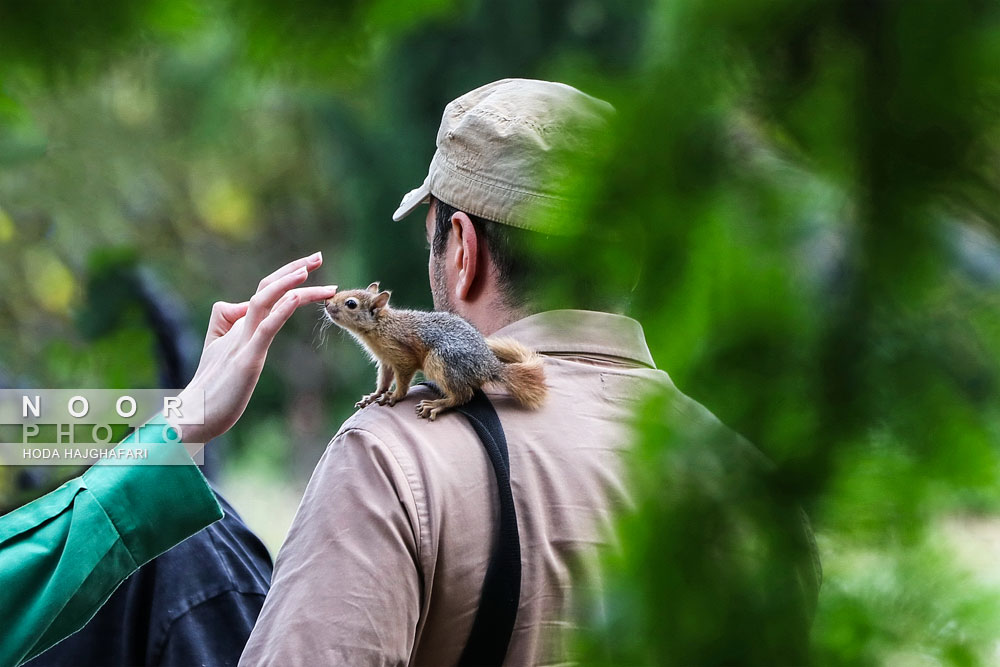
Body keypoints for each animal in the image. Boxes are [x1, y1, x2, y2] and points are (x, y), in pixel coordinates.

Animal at [324, 284, 548, 420]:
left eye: (351, 303)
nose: (326, 303)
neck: (380, 326)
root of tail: (488, 366)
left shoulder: (401, 355)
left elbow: (403, 380)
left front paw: (394, 396)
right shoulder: (386, 360)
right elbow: (384, 380)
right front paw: (375, 395)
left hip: (441, 361)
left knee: (464, 395)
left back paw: (438, 405)